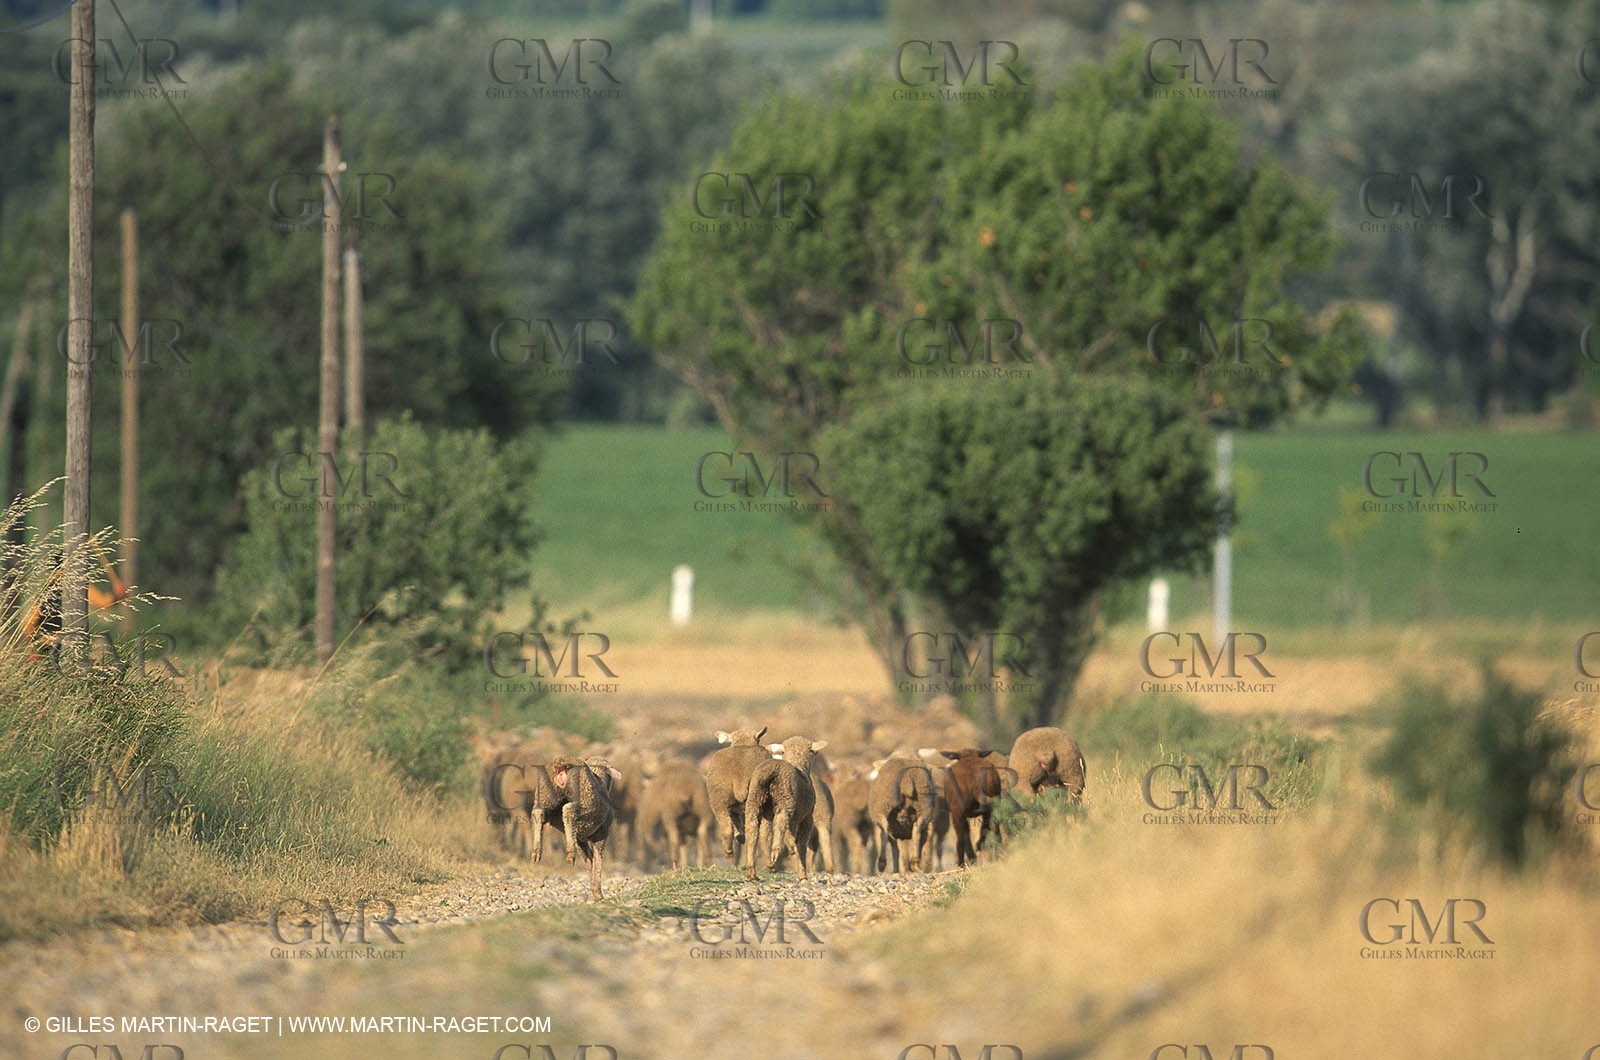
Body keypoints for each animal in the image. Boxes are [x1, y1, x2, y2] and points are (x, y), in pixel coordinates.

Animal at [549, 756, 622, 899]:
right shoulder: (602, 833)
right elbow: (597, 859)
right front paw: (597, 892)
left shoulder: (582, 839)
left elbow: (590, 860)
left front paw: (594, 890)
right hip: (585, 808)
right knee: (568, 812)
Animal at [702, 726, 772, 866]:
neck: (743, 744)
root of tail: (740, 778)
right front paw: (740, 837)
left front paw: (740, 837)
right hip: (759, 801)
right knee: (762, 832)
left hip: (719, 801)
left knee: (727, 828)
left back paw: (729, 852)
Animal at [744, 743, 816, 880]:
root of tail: (772, 769)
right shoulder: (806, 818)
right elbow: (801, 844)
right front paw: (803, 875)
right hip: (785, 799)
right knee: (780, 822)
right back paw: (774, 853)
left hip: (755, 799)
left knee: (753, 830)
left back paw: (753, 870)